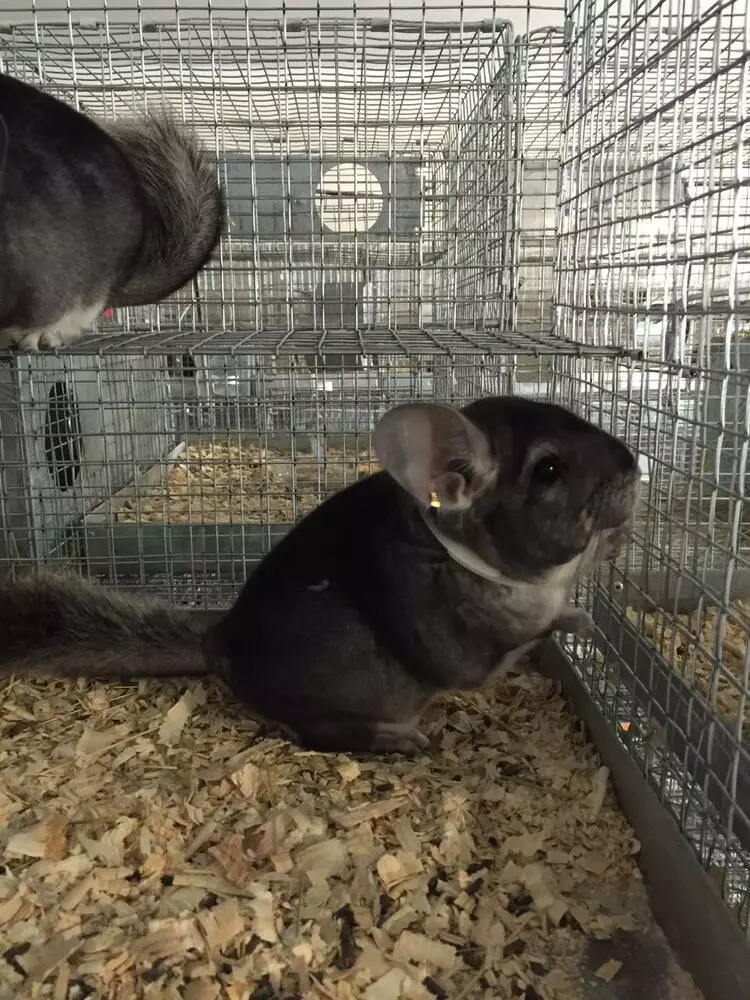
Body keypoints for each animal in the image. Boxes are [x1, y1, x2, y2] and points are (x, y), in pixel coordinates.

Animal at [0, 397, 639, 755]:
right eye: (549, 470)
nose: (635, 465)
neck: (453, 550)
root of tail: (218, 641)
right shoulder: (469, 649)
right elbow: (524, 635)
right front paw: (578, 614)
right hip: (340, 702)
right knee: (316, 734)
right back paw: (398, 741)